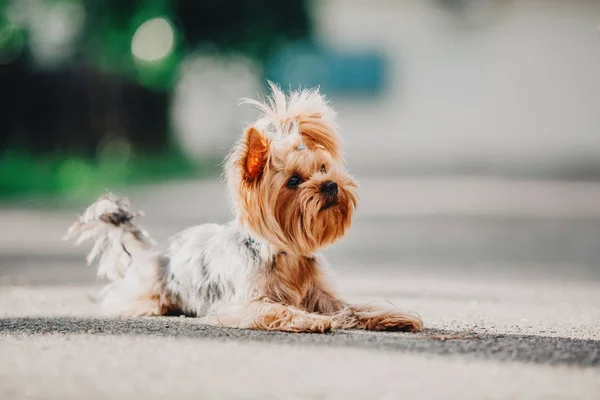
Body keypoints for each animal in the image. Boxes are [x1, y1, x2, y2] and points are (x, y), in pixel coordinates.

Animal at [64, 83, 422, 332]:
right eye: (293, 180)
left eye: (323, 169)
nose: (331, 185)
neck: (286, 255)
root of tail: (152, 251)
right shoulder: (242, 303)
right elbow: (276, 309)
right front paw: (309, 320)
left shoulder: (323, 295)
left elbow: (353, 306)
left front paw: (392, 315)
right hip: (147, 294)